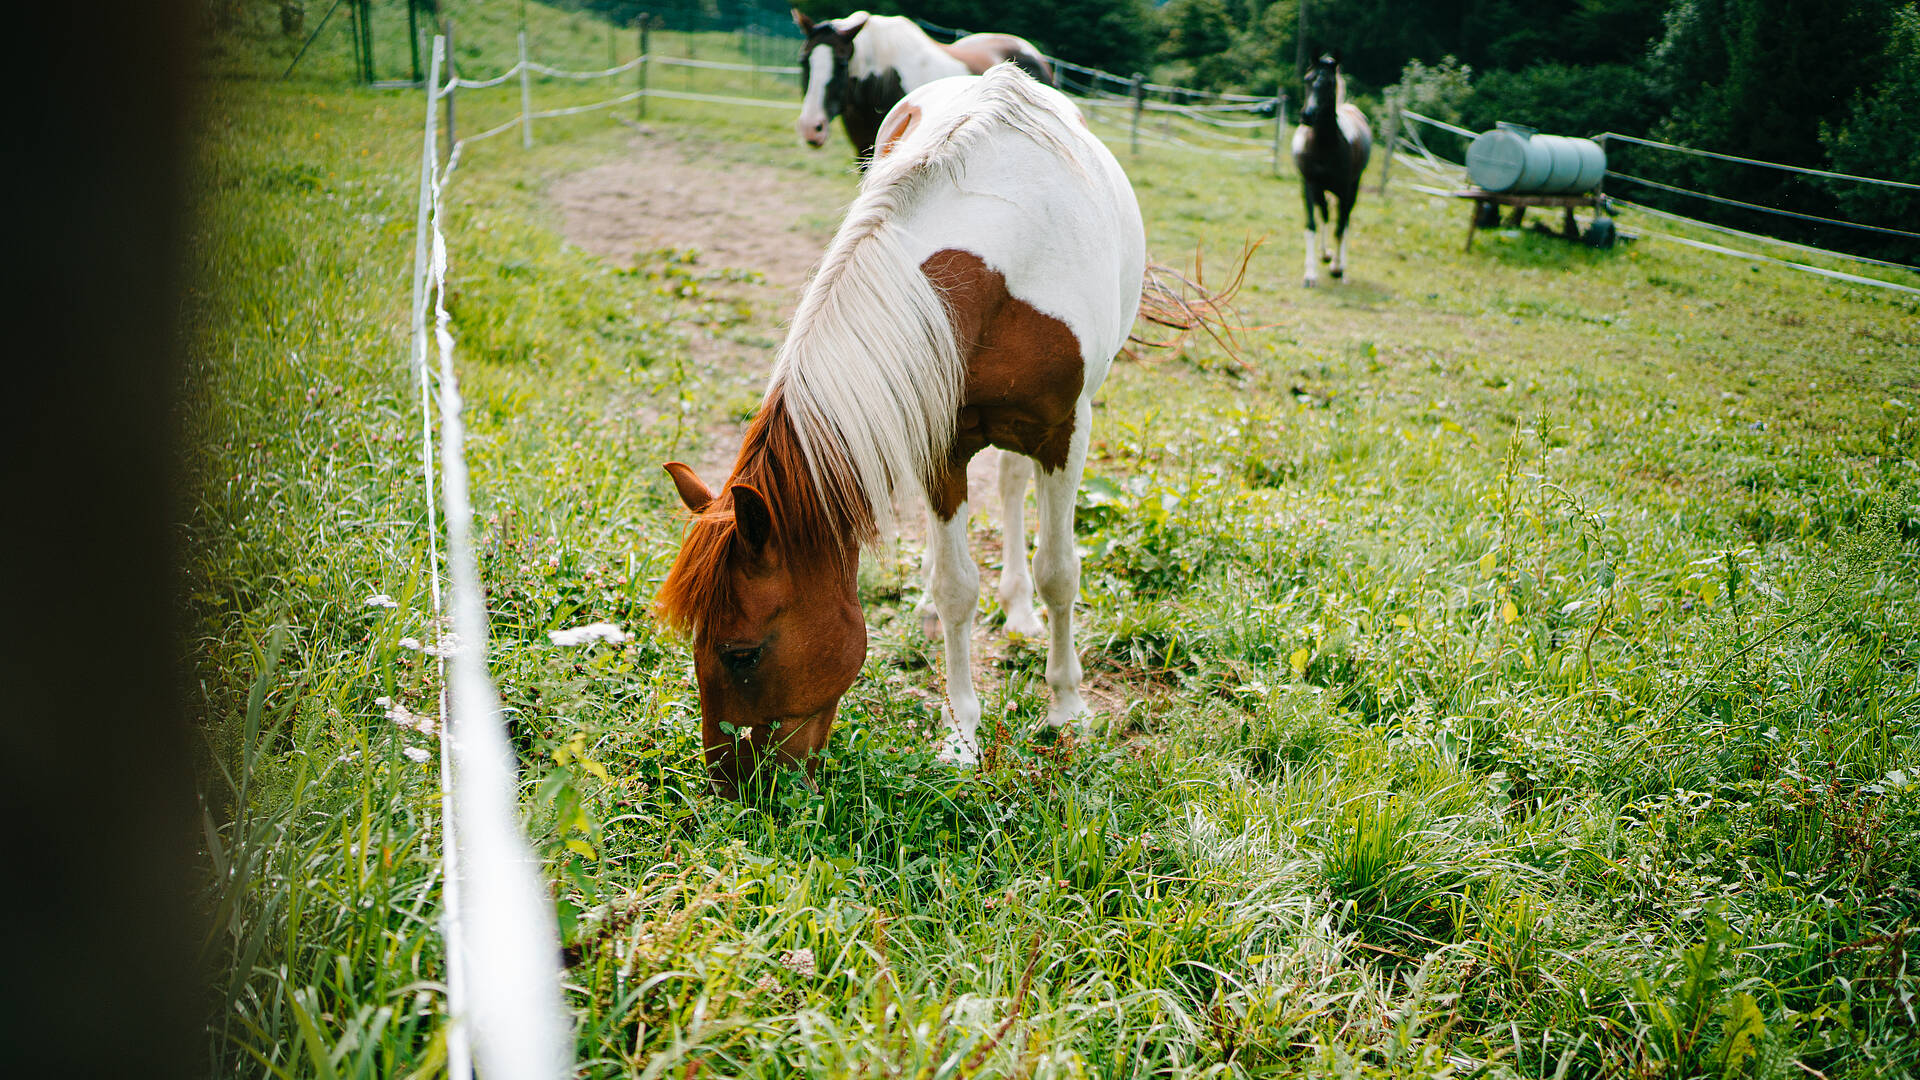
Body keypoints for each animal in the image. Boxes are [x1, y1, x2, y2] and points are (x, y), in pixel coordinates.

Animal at [660, 65, 1136, 791]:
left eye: (741, 653)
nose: (730, 787)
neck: (1007, 266)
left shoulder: (1064, 429)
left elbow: (1059, 571)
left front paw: (1066, 713)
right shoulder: (944, 443)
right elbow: (956, 586)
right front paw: (961, 734)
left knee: (1015, 490)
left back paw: (1021, 613)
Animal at [1290, 53, 1367, 286]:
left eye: (1329, 83)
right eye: (1308, 79)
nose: (1307, 115)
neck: (1325, 145)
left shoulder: (1344, 190)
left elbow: (1340, 227)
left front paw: (1337, 268)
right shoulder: (1309, 185)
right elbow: (1312, 225)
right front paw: (1310, 274)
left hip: (1352, 189)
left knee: (1345, 221)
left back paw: (1338, 265)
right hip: (1321, 191)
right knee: (1324, 214)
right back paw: (1325, 254)